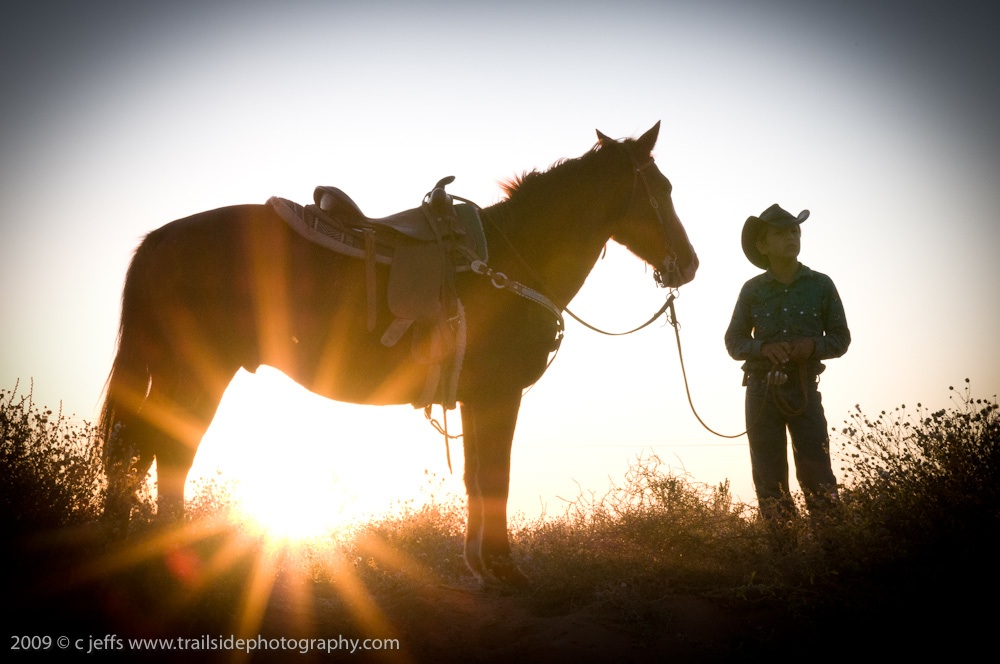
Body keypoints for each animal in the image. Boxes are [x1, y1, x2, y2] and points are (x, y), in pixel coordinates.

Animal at [99, 120, 696, 588]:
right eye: (662, 187)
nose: (688, 264)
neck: (511, 258)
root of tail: (160, 239)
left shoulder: (476, 397)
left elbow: (476, 479)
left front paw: (480, 566)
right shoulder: (501, 394)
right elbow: (497, 478)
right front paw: (505, 569)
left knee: (135, 452)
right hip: (197, 373)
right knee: (167, 452)